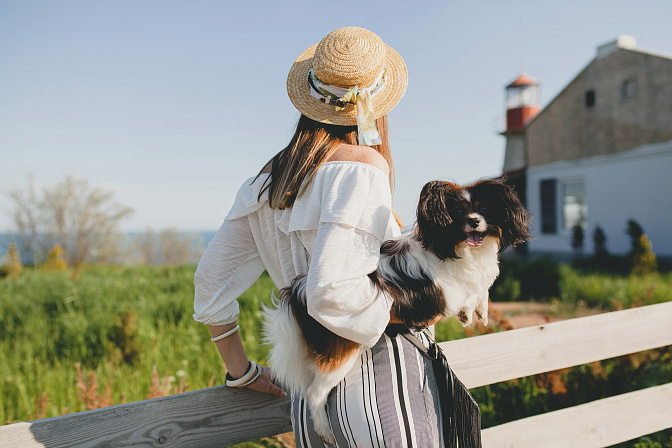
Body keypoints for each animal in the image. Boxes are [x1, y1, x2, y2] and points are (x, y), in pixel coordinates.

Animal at [266, 177, 532, 440]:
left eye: (484, 208)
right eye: (457, 212)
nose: (474, 221)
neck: (453, 248)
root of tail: (299, 289)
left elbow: (482, 288)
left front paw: (478, 311)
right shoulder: (450, 291)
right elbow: (474, 289)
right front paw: (469, 310)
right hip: (342, 352)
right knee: (315, 393)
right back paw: (324, 430)